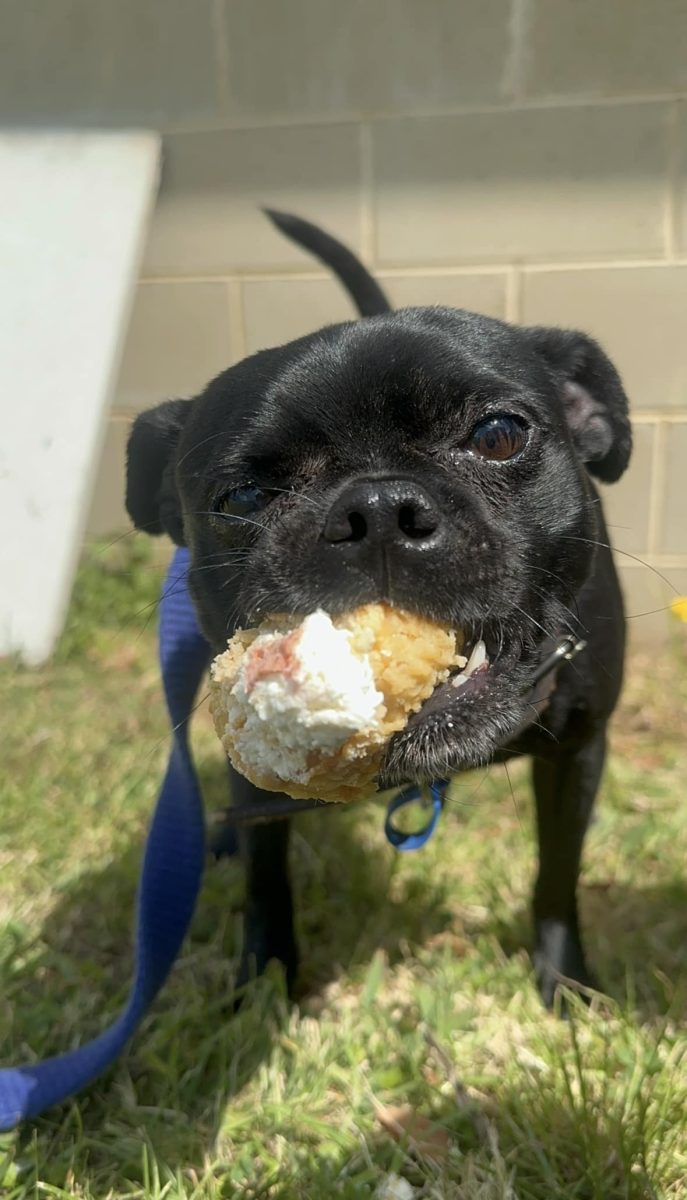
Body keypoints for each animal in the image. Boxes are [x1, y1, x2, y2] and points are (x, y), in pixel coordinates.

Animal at [126, 211, 629, 1008]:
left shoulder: (577, 752)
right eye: (242, 498)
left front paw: (564, 981)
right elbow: (267, 877)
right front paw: (262, 983)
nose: (378, 508)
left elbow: (557, 875)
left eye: (499, 435)